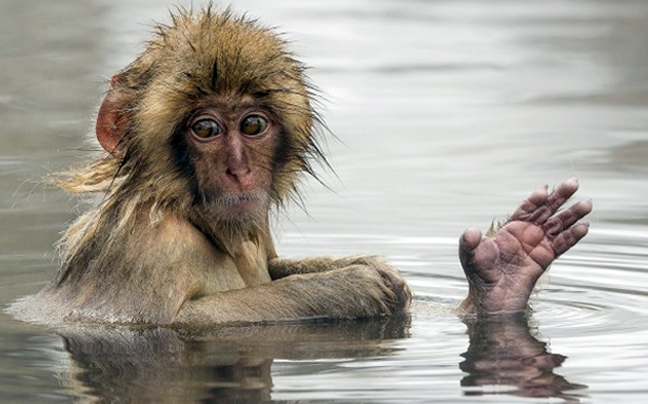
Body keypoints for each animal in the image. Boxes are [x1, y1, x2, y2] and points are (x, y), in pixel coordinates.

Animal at [13, 7, 592, 326]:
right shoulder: (151, 248)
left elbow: (272, 266)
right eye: (206, 130)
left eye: (252, 125)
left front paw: (504, 269)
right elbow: (177, 323)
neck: (194, 216)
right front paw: (355, 286)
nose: (239, 170)